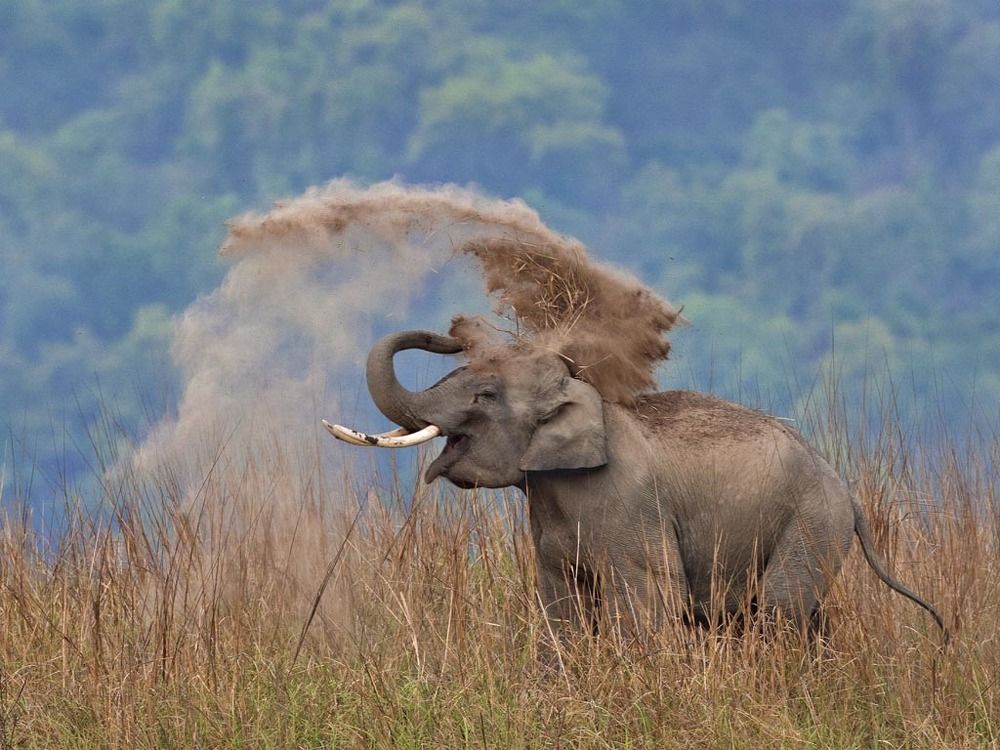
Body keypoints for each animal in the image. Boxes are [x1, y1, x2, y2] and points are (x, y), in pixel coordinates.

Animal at [326, 328, 945, 636]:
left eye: (485, 395)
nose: (450, 335)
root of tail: (849, 495)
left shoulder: (627, 507)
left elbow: (650, 597)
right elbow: (562, 603)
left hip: (811, 527)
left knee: (778, 612)